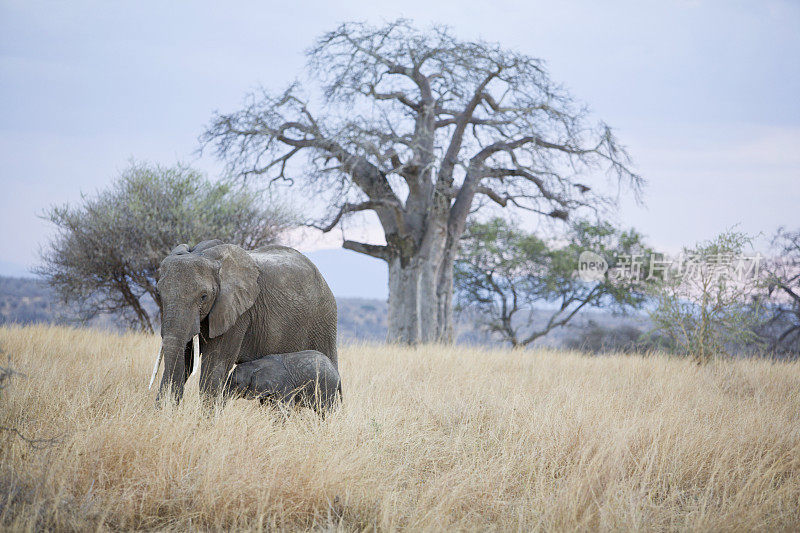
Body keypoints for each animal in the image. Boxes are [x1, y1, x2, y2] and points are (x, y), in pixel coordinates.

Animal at [150, 239, 338, 402]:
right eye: (159, 293)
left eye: (204, 296)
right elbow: (185, 360)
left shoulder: (238, 313)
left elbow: (215, 365)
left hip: (323, 320)